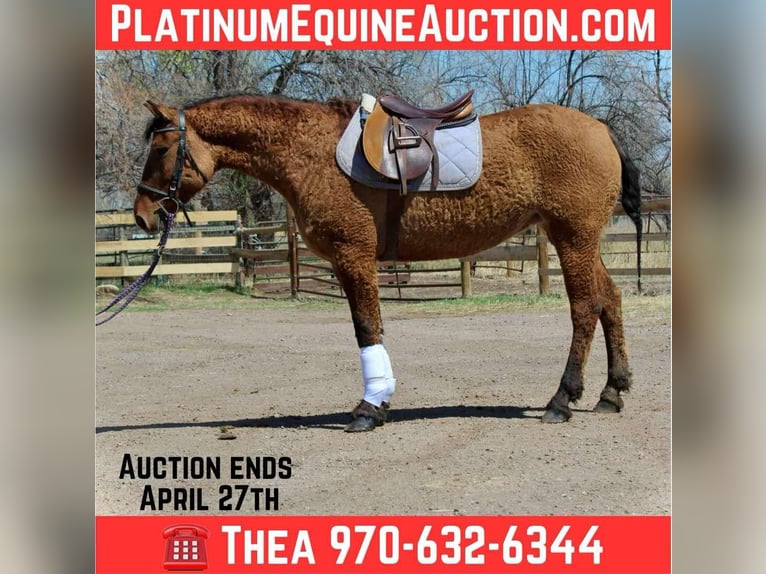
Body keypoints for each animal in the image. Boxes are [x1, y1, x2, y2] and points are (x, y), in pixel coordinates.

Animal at [133, 94, 642, 432]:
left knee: (584, 309)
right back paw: (611, 392)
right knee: (611, 300)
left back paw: (562, 399)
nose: (141, 215)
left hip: (571, 238)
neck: (310, 150)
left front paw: (369, 407)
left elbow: (367, 327)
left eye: (160, 149)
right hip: (580, 241)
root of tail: (601, 129)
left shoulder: (353, 255)